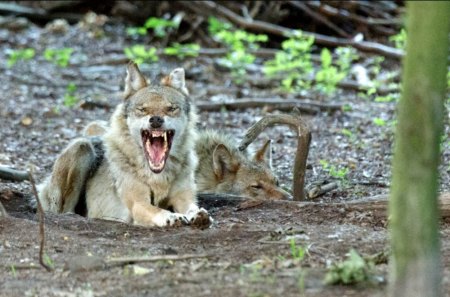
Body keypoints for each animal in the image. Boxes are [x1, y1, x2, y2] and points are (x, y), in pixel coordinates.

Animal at [37, 62, 210, 227]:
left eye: (171, 108)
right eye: (142, 109)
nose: (156, 120)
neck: (157, 176)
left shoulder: (183, 197)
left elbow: (192, 207)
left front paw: (198, 214)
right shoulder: (138, 203)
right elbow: (157, 210)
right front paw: (172, 216)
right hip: (81, 147)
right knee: (62, 210)